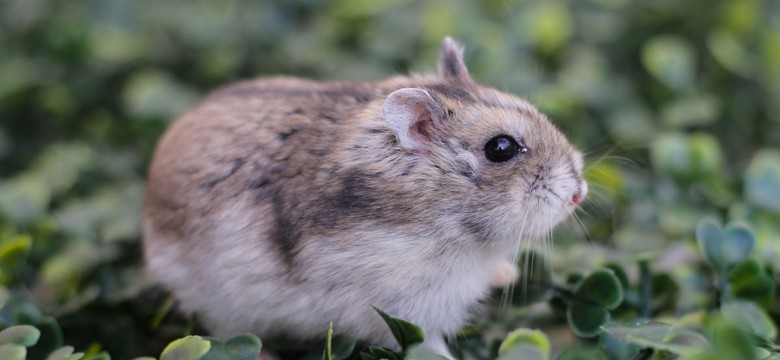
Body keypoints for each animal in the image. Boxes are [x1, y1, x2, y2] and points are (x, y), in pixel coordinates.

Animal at [143, 37, 588, 358]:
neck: (447, 220)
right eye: (501, 148)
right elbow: (431, 348)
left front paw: (506, 274)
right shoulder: (407, 311)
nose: (579, 193)